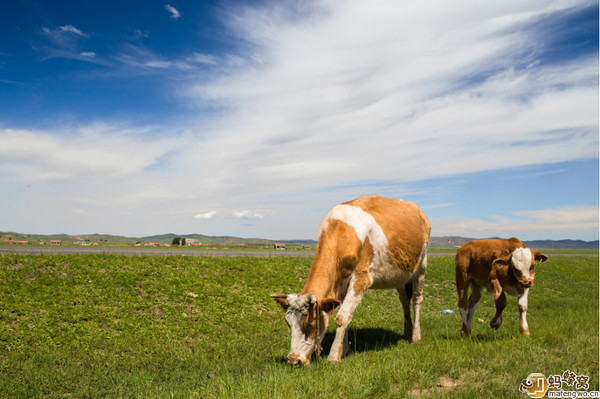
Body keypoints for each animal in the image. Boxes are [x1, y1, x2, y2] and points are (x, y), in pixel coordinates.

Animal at [272, 195, 432, 368]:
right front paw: (344, 350)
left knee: (417, 299)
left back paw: (416, 336)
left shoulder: (361, 278)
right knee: (404, 300)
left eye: (310, 325)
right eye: (288, 323)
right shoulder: (341, 282)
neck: (341, 231)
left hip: (421, 266)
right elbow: (345, 315)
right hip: (401, 275)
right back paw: (407, 332)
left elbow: (342, 317)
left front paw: (334, 356)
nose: (294, 360)